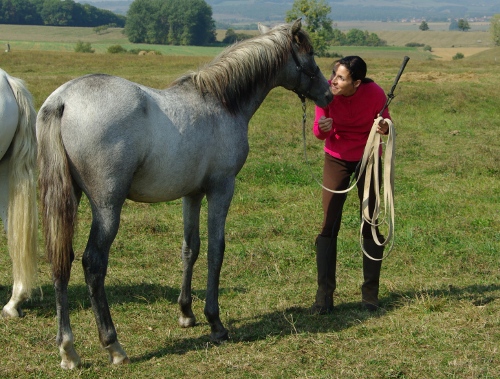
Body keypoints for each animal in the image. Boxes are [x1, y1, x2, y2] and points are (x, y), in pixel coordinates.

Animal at [37, 19, 334, 370]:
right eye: (309, 52)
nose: (329, 93)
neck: (221, 102)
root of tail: (63, 100)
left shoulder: (192, 194)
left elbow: (190, 249)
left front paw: (186, 313)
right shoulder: (222, 188)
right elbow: (216, 250)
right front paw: (215, 322)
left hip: (67, 199)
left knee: (61, 261)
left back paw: (67, 349)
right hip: (107, 206)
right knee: (93, 263)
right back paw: (113, 345)